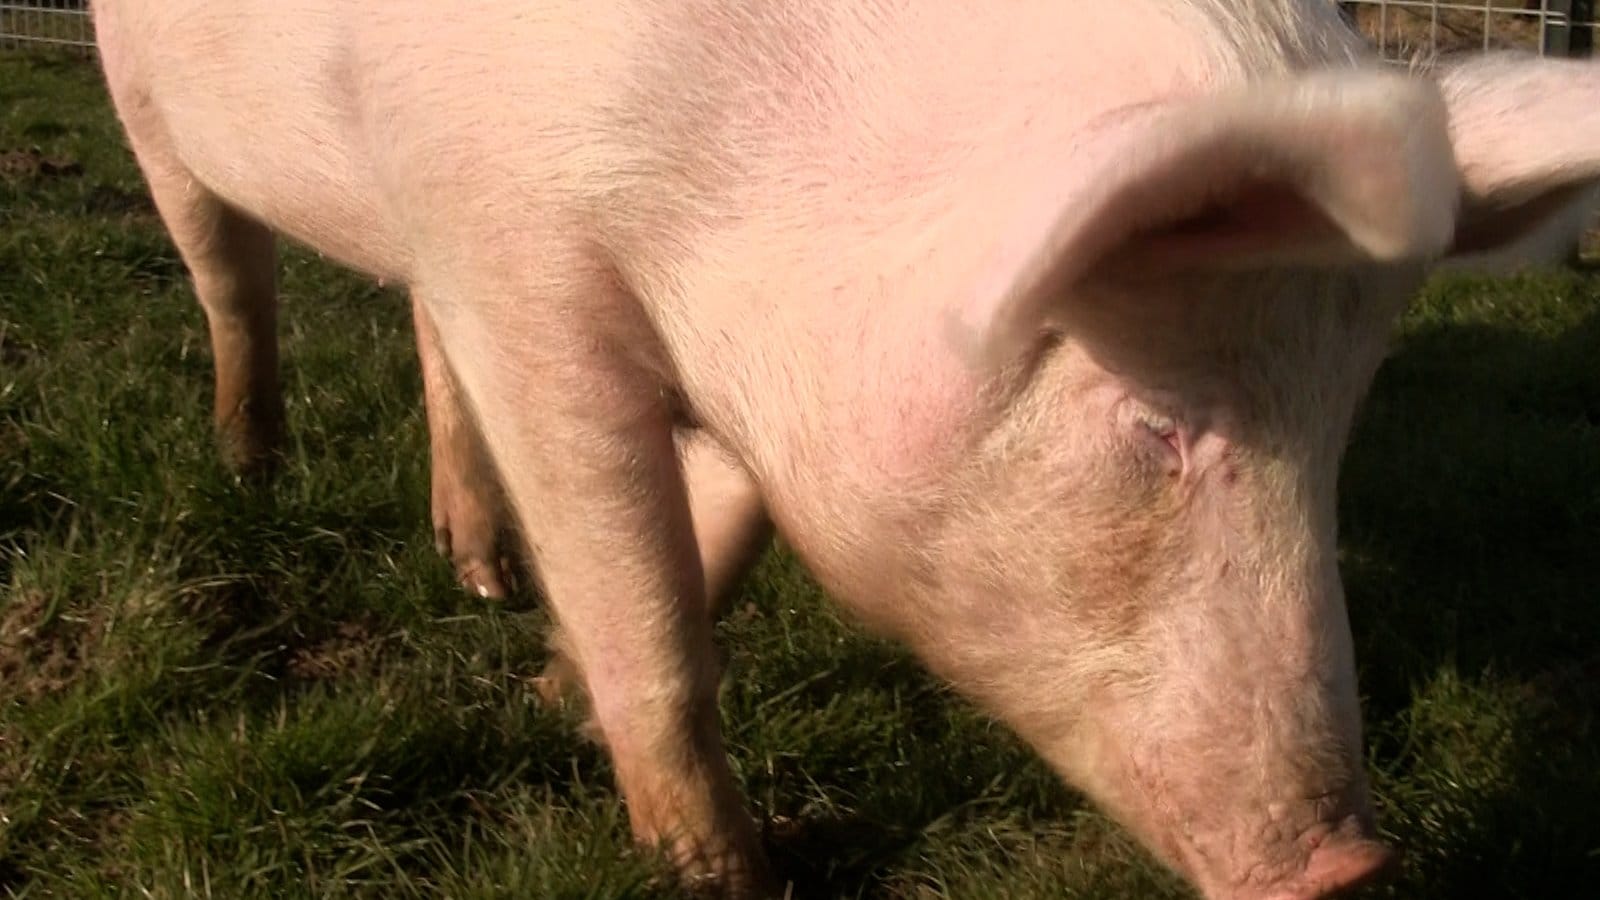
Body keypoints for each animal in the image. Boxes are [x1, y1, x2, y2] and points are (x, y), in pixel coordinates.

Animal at [89, 1, 1600, 897]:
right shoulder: (518, 261)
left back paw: (480, 576)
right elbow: (642, 598)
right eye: (1161, 421)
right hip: (141, 99)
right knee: (229, 274)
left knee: (412, 331)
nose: (1356, 865)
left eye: (1342, 429)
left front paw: (545, 685)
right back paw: (248, 465)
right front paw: (725, 878)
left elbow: (717, 533)